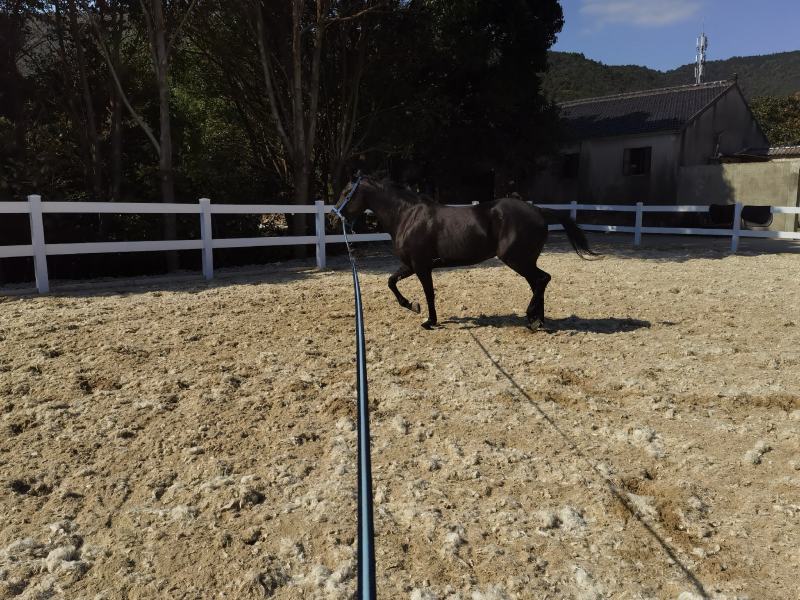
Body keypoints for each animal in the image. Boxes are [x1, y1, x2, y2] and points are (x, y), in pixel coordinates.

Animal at [334, 176, 597, 330]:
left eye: (347, 192)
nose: (333, 216)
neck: (407, 216)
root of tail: (539, 211)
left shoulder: (421, 266)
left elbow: (429, 293)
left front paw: (429, 321)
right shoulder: (410, 265)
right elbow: (391, 282)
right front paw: (412, 306)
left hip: (517, 259)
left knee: (542, 279)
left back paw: (532, 317)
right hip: (525, 261)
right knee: (538, 283)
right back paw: (536, 320)